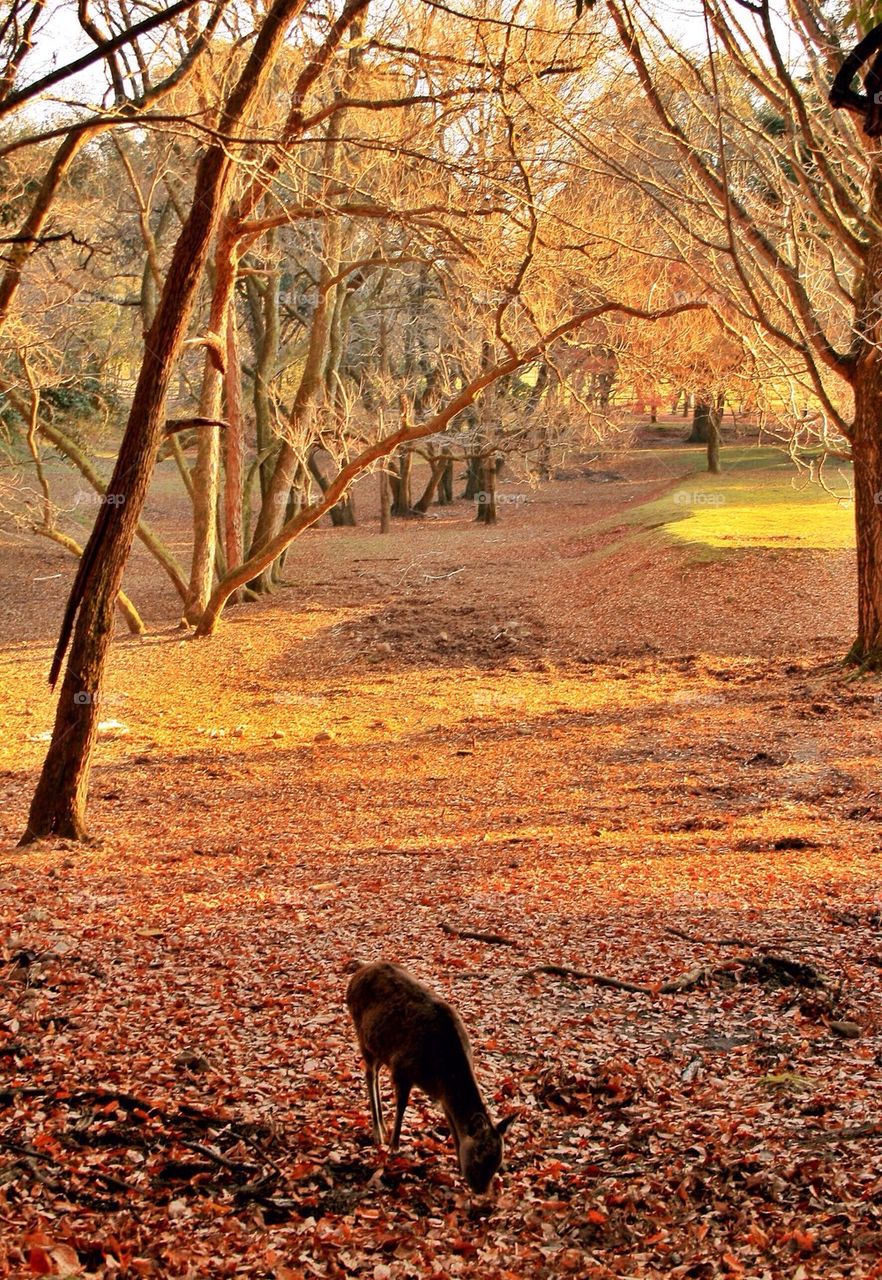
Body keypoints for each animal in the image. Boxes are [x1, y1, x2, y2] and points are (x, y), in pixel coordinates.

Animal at [343, 962, 509, 1192]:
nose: (481, 1191)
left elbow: (452, 1124)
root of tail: (357, 974)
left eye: (498, 1163)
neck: (440, 1072)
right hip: (363, 1036)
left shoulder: (443, 1095)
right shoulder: (402, 1067)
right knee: (370, 1074)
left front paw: (457, 1164)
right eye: (478, 1160)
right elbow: (401, 1107)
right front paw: (394, 1147)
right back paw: (378, 1132)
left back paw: (382, 1127)